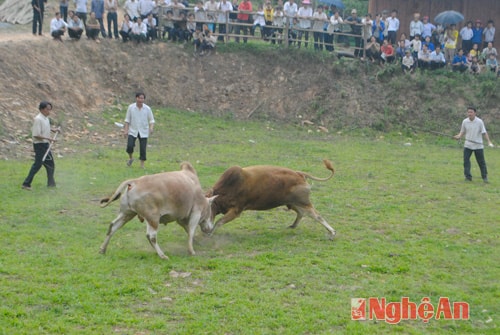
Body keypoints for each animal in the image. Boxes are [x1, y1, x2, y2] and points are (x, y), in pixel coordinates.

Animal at [207, 160, 336, 239]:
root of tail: (299, 174)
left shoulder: (236, 210)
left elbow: (219, 221)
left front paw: (210, 233)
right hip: (293, 203)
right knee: (301, 213)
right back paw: (293, 225)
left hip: (303, 202)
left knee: (316, 215)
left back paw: (332, 232)